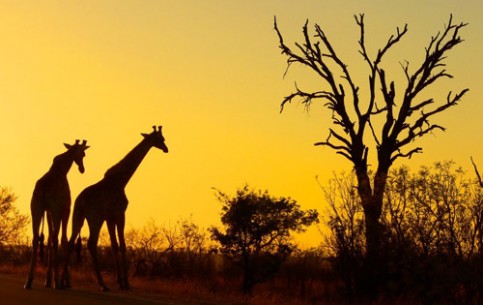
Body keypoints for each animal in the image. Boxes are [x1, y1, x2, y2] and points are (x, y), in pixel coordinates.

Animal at [24, 139, 90, 288]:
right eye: (83, 154)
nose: (82, 169)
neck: (62, 169)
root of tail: (43, 190)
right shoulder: (65, 210)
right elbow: (63, 240)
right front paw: (65, 281)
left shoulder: (48, 211)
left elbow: (48, 238)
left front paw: (48, 280)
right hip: (56, 211)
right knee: (55, 238)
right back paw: (58, 281)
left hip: (35, 209)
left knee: (36, 238)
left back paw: (29, 281)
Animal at [61, 125, 169, 290]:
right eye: (160, 139)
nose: (166, 149)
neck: (121, 181)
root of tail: (80, 201)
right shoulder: (120, 214)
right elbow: (123, 245)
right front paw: (126, 283)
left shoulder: (110, 218)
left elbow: (114, 245)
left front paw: (120, 281)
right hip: (95, 219)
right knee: (91, 244)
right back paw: (102, 284)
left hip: (78, 217)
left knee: (70, 242)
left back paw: (64, 282)